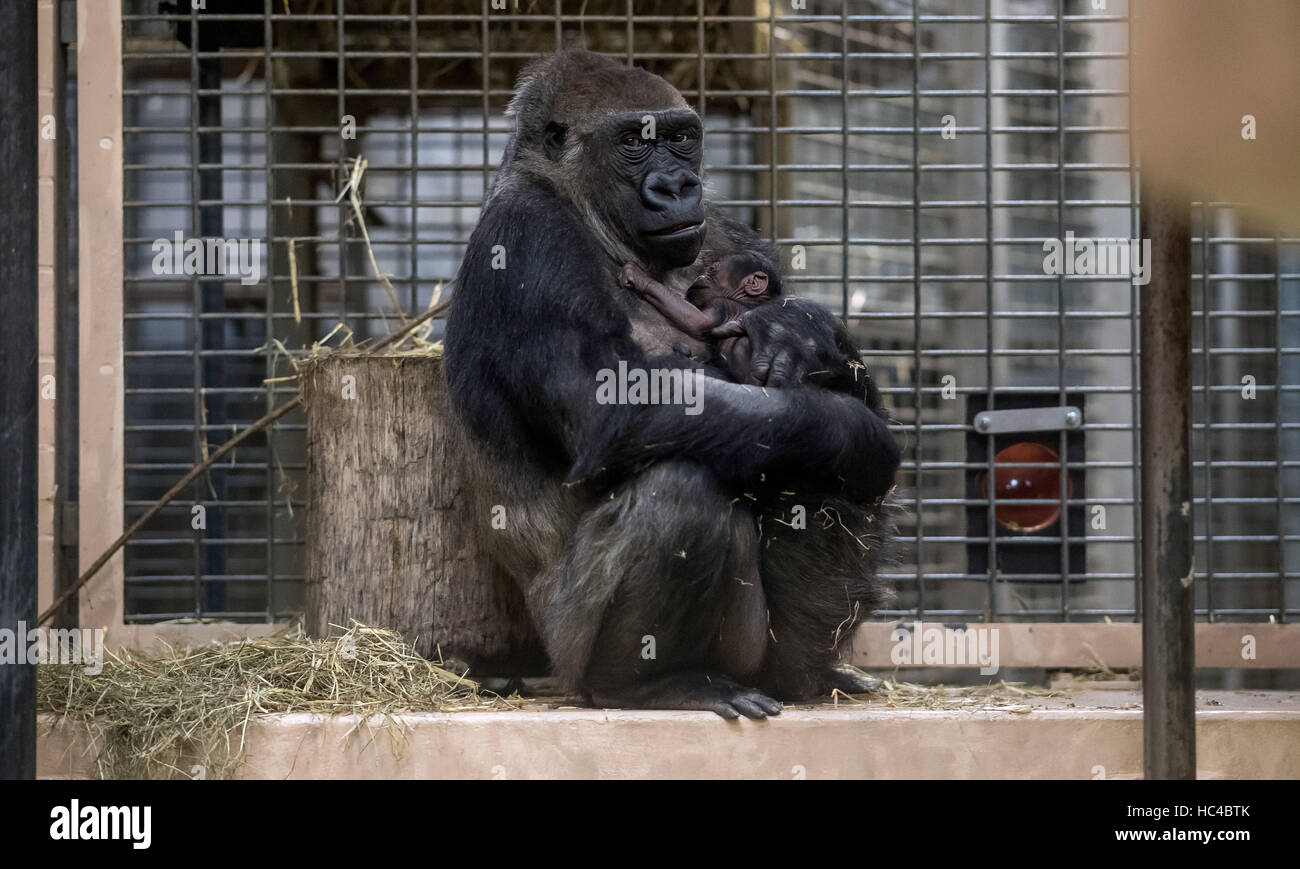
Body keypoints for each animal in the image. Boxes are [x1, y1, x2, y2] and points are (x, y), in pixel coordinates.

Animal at [621, 251, 780, 387]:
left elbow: (698, 321)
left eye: (711, 270)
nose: (700, 276)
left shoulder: (722, 304)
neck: (747, 300)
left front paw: (639, 278)